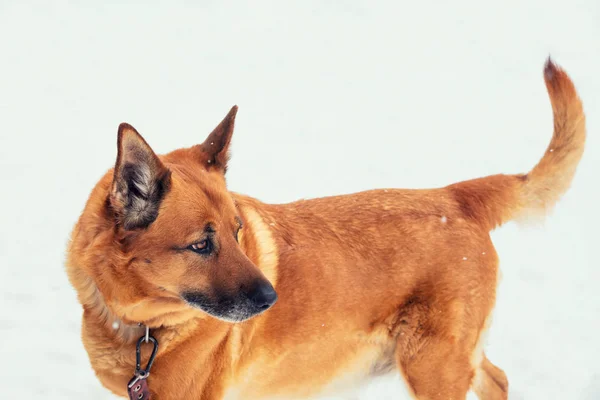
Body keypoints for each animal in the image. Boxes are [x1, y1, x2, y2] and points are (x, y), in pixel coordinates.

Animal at [65, 60, 584, 400]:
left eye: (237, 231)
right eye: (200, 244)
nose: (271, 299)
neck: (139, 324)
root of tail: (453, 196)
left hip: (432, 365)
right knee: (496, 377)